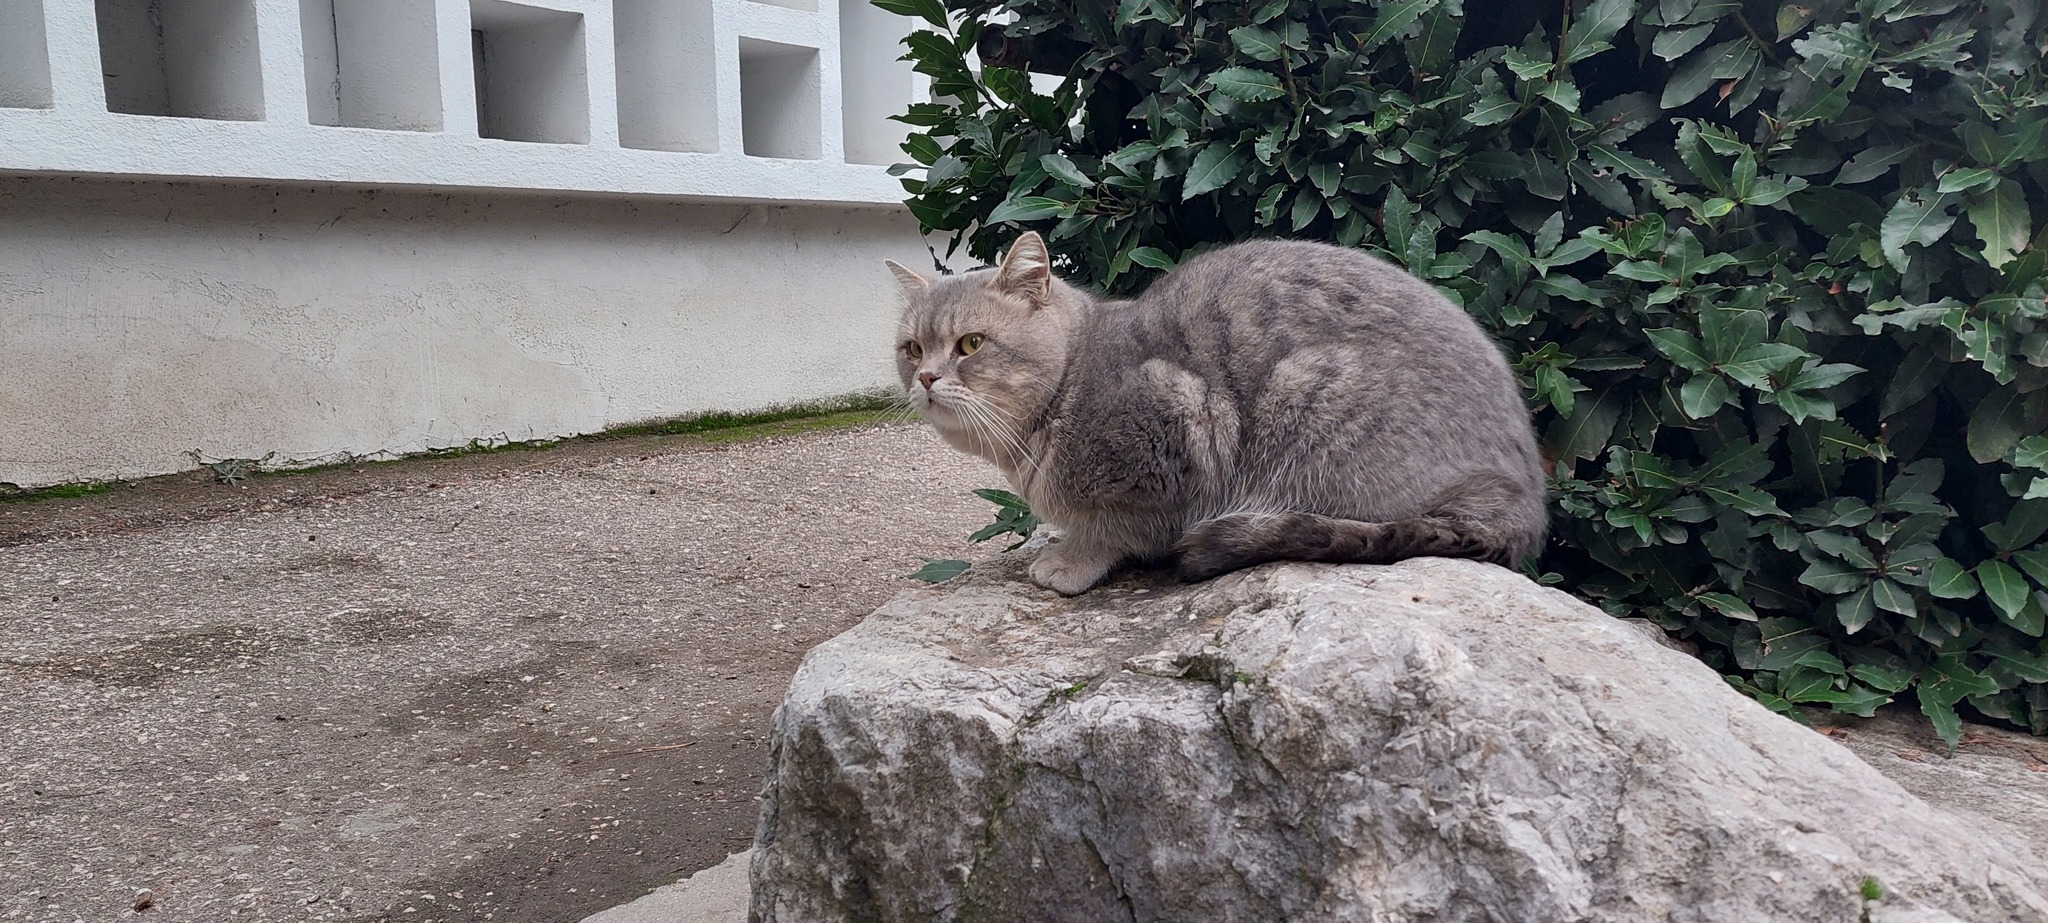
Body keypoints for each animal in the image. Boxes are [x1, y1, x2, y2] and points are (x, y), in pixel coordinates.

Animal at [887, 231, 1548, 596]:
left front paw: (1070, 561)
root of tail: (1523, 499)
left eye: (971, 344)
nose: (926, 378)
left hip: (1303, 399)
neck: (1071, 380)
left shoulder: (1175, 436)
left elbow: (1115, 529)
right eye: (913, 348)